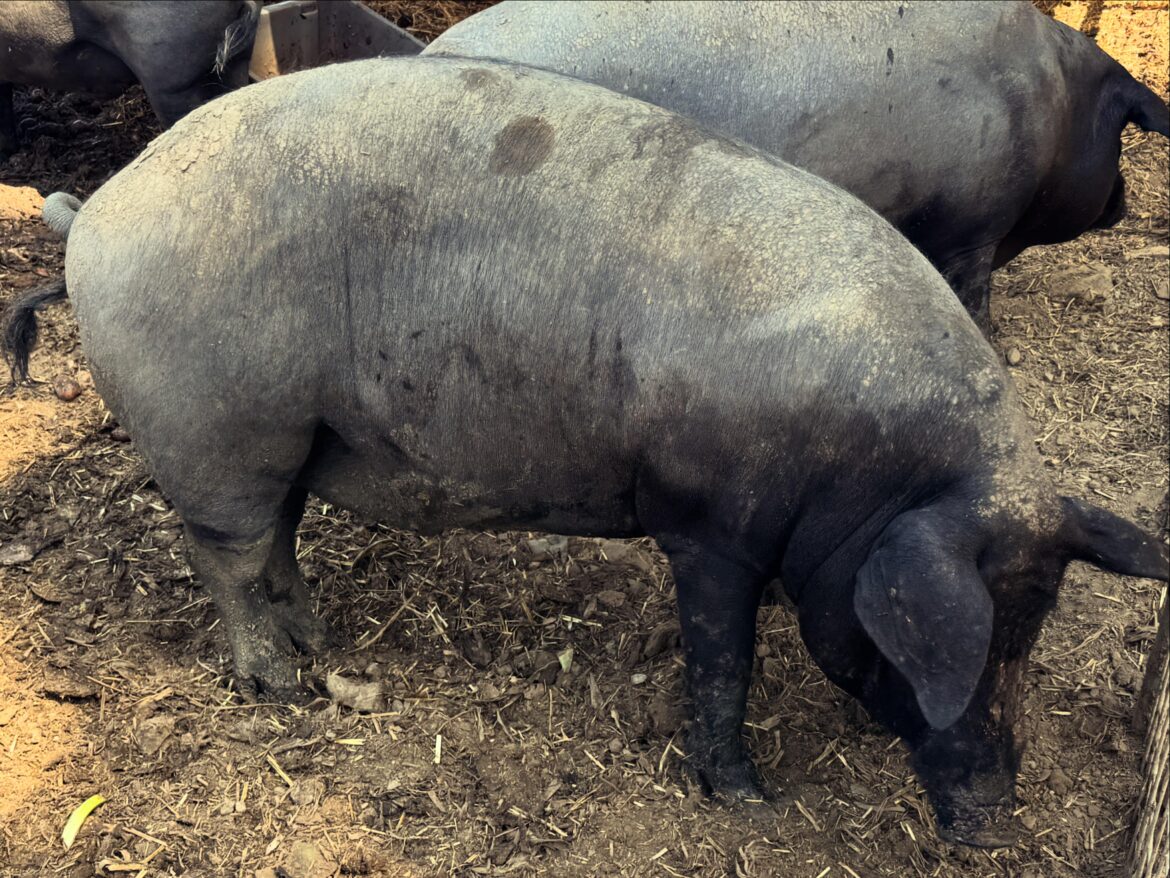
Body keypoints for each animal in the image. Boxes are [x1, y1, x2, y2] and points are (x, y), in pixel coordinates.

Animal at [5, 57, 1166, 847]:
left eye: (1035, 628)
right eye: (973, 638)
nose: (993, 827)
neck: (872, 478)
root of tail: (95, 214)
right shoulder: (709, 523)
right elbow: (723, 657)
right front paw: (747, 800)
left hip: (283, 438)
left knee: (278, 546)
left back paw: (323, 648)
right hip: (216, 434)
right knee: (230, 558)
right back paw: (278, 687)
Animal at [424, 0, 1170, 329]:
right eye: (1120, 131)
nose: (1121, 199)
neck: (1055, 103)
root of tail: (430, 52)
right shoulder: (973, 225)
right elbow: (972, 298)